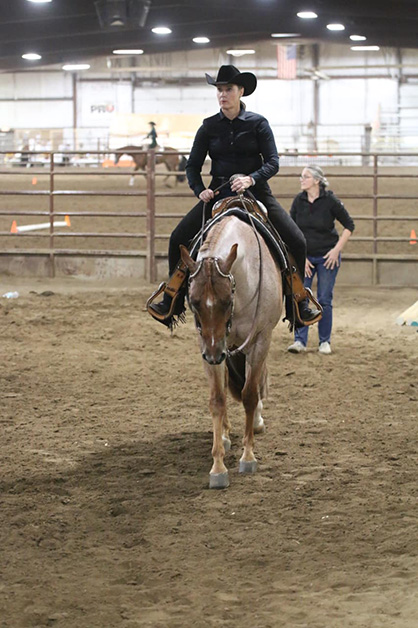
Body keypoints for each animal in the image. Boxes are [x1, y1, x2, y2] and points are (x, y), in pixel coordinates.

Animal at [179, 212, 283, 489]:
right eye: (194, 302)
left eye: (227, 301)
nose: (214, 355)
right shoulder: (206, 345)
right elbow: (217, 399)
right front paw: (218, 467)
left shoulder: (260, 340)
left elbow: (249, 395)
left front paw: (248, 457)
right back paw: (225, 435)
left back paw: (256, 421)